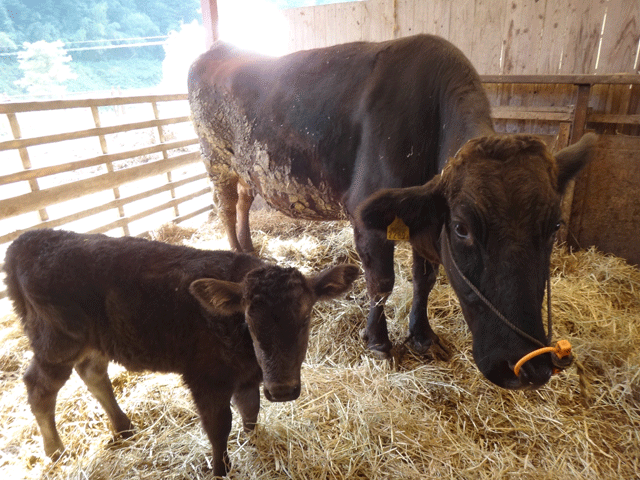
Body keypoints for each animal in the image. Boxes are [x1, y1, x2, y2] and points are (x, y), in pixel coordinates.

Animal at [188, 34, 596, 390]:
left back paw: (248, 250)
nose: (527, 366)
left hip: (244, 168)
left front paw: (422, 335)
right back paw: (235, 255)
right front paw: (379, 341)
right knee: (225, 206)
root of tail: (216, 48)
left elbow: (424, 279)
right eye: (461, 228)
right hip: (215, 159)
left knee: (243, 201)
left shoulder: (422, 218)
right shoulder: (368, 218)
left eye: (555, 225)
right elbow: (381, 283)